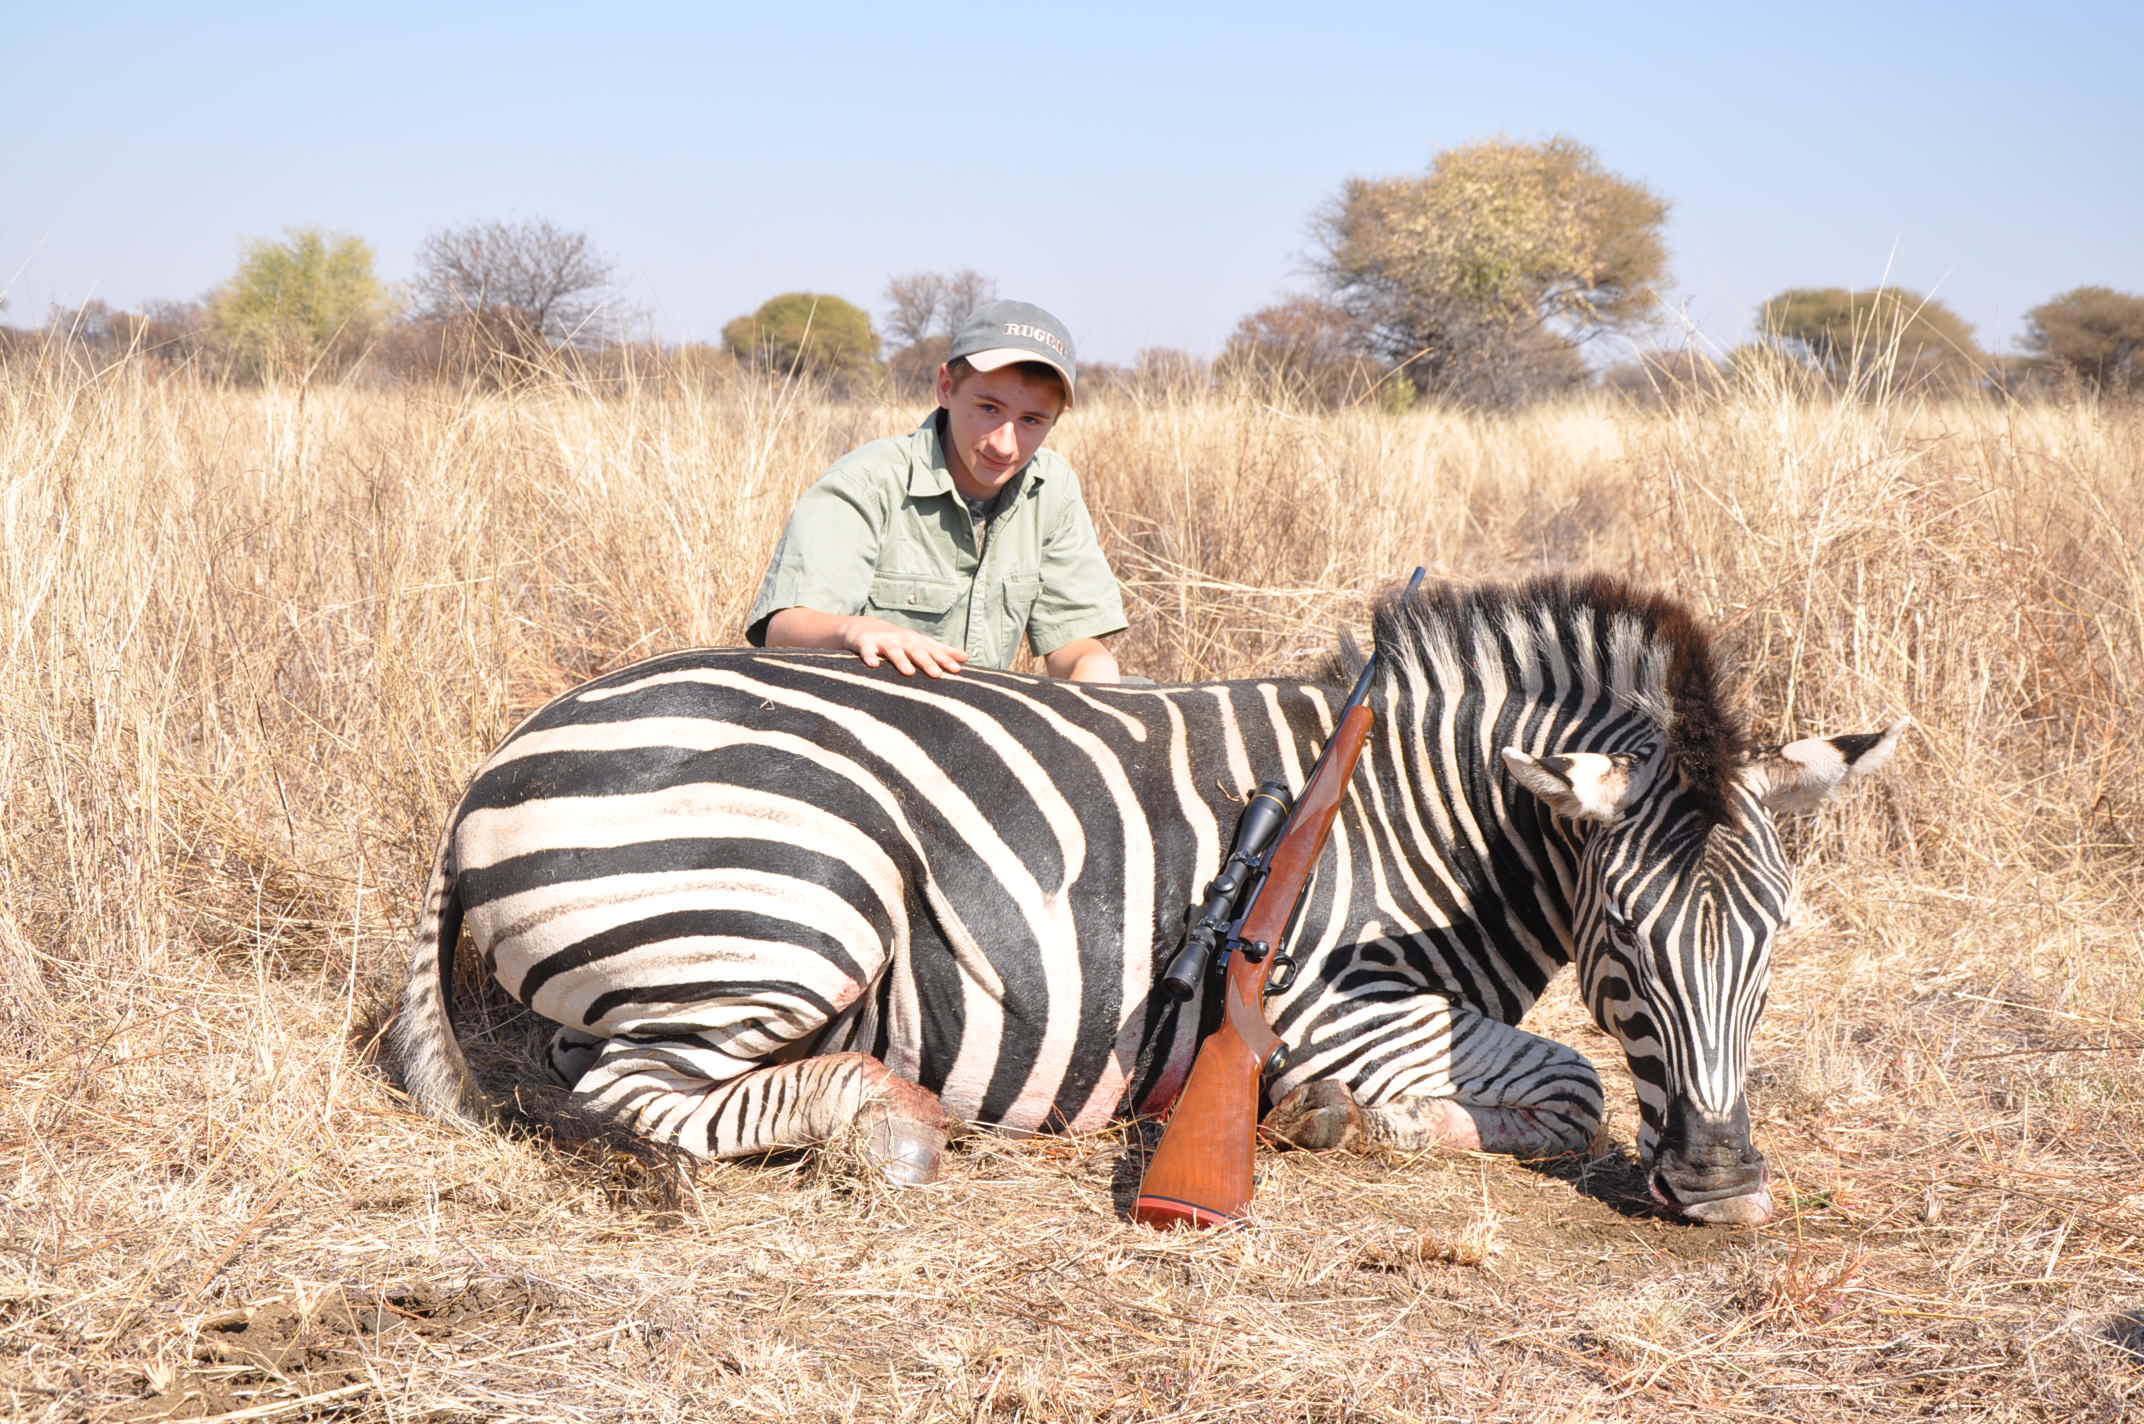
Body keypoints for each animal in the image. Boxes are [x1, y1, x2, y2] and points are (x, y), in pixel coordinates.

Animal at [394, 574, 1903, 1226]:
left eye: (1770, 941)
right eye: (1626, 941)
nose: (1723, 1189)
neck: (1424, 805)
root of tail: (494, 766)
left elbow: (1559, 1088)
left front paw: (1325, 1117)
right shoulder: (1338, 995)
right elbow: (1573, 1085)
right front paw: (1349, 1118)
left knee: (612, 1074)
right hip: (800, 903)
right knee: (629, 1093)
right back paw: (885, 1120)